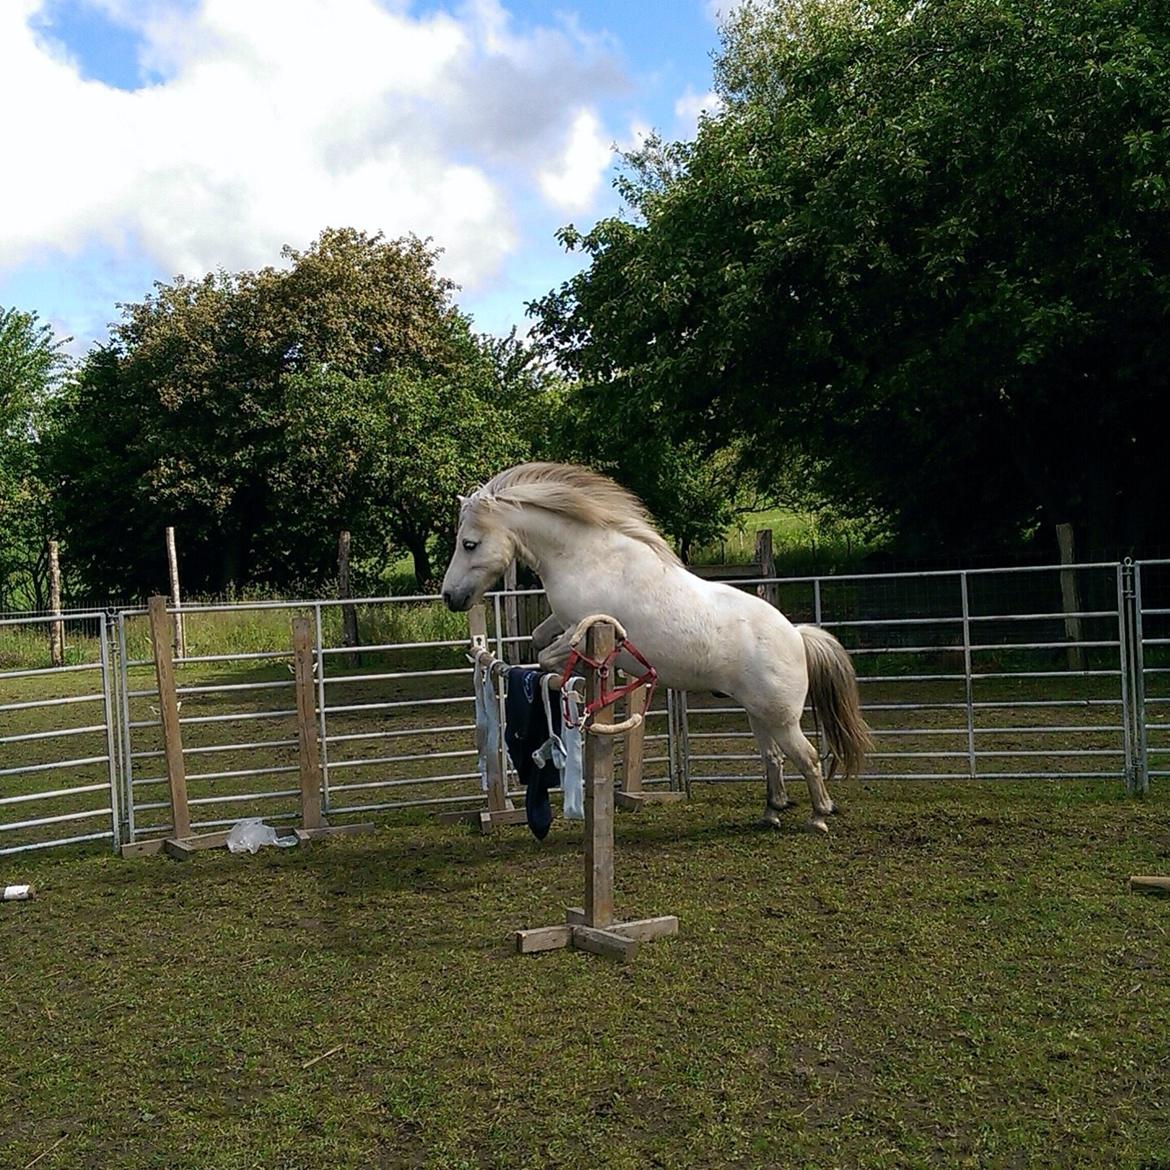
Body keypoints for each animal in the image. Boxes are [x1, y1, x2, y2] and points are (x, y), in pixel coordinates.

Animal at [442, 460, 875, 828]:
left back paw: (819, 815)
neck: (589, 556)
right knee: (773, 758)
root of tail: (797, 636)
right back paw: (772, 811)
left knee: (807, 758)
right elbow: (538, 638)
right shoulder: (563, 622)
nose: (450, 597)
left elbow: (551, 655)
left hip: (782, 719)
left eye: (469, 543)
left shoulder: (584, 627)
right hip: (760, 715)